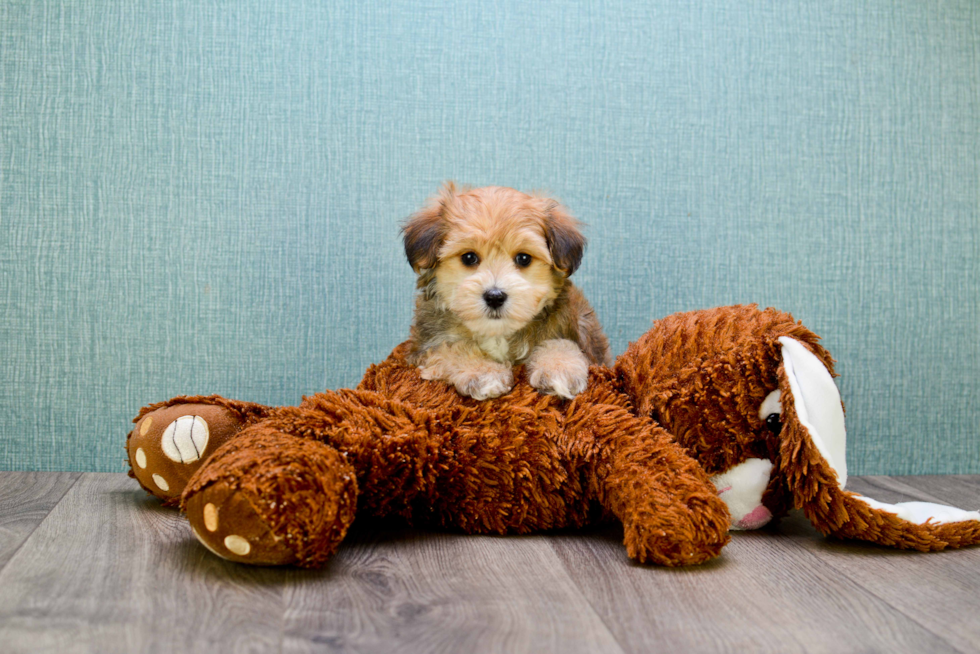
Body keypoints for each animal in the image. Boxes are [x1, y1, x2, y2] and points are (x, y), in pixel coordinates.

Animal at [402, 182, 608, 402]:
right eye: (469, 257)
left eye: (524, 258)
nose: (494, 297)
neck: (498, 333)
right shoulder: (423, 348)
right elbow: (450, 349)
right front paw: (483, 372)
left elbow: (560, 343)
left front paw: (560, 367)